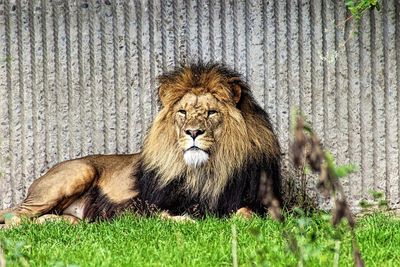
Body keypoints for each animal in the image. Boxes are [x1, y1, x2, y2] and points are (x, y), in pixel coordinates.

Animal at [0, 63, 282, 226]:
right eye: (182, 112)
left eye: (211, 112)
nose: (193, 132)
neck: (205, 171)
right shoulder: (146, 207)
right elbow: (169, 218)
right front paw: (187, 221)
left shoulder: (263, 203)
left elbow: (248, 214)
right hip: (78, 172)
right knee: (15, 216)